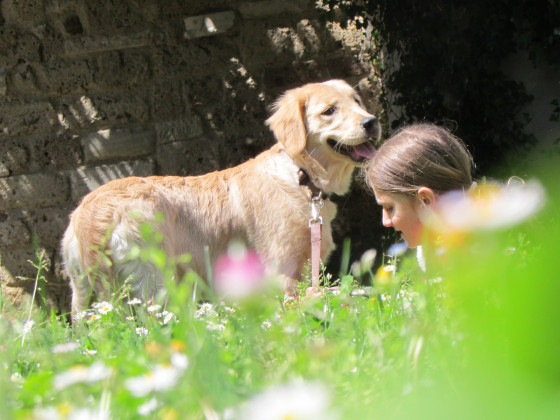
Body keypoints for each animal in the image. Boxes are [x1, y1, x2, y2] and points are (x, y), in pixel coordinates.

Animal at [61, 80, 378, 314]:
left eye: (357, 101)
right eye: (329, 111)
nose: (372, 122)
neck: (300, 175)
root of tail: (89, 213)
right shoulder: (283, 272)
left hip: (81, 293)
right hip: (155, 282)